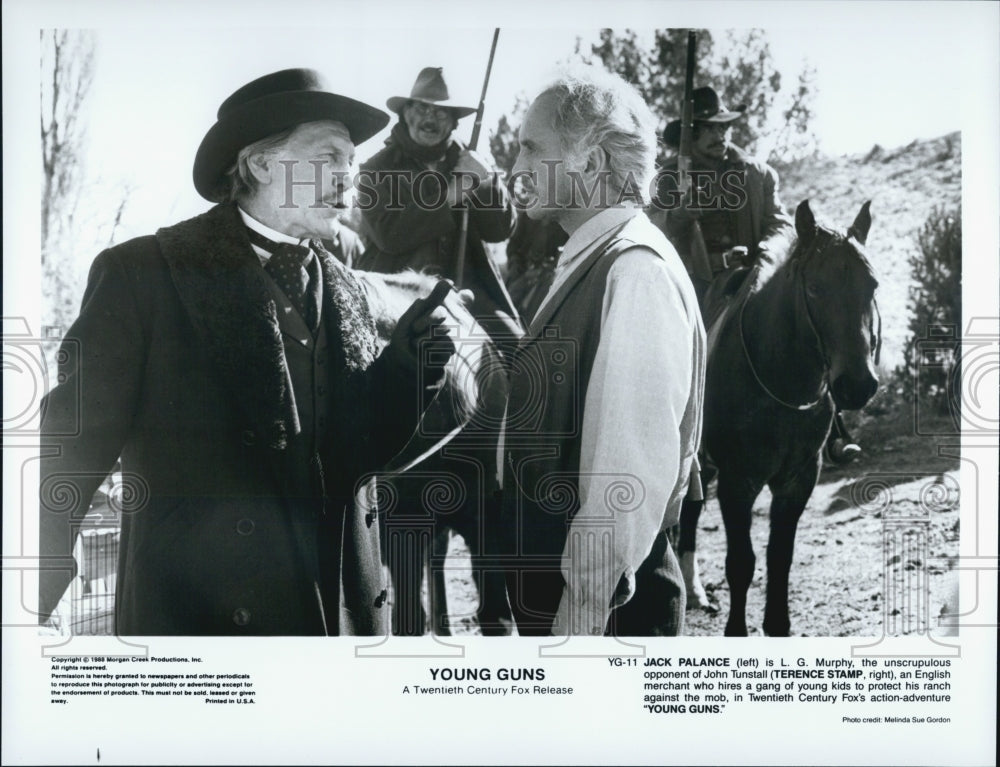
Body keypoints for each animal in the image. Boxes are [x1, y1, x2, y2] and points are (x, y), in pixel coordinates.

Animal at [680, 198, 884, 636]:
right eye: (815, 288)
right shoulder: (738, 482)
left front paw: (777, 624)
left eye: (872, 286)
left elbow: (779, 557)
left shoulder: (797, 480)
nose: (857, 385)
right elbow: (742, 563)